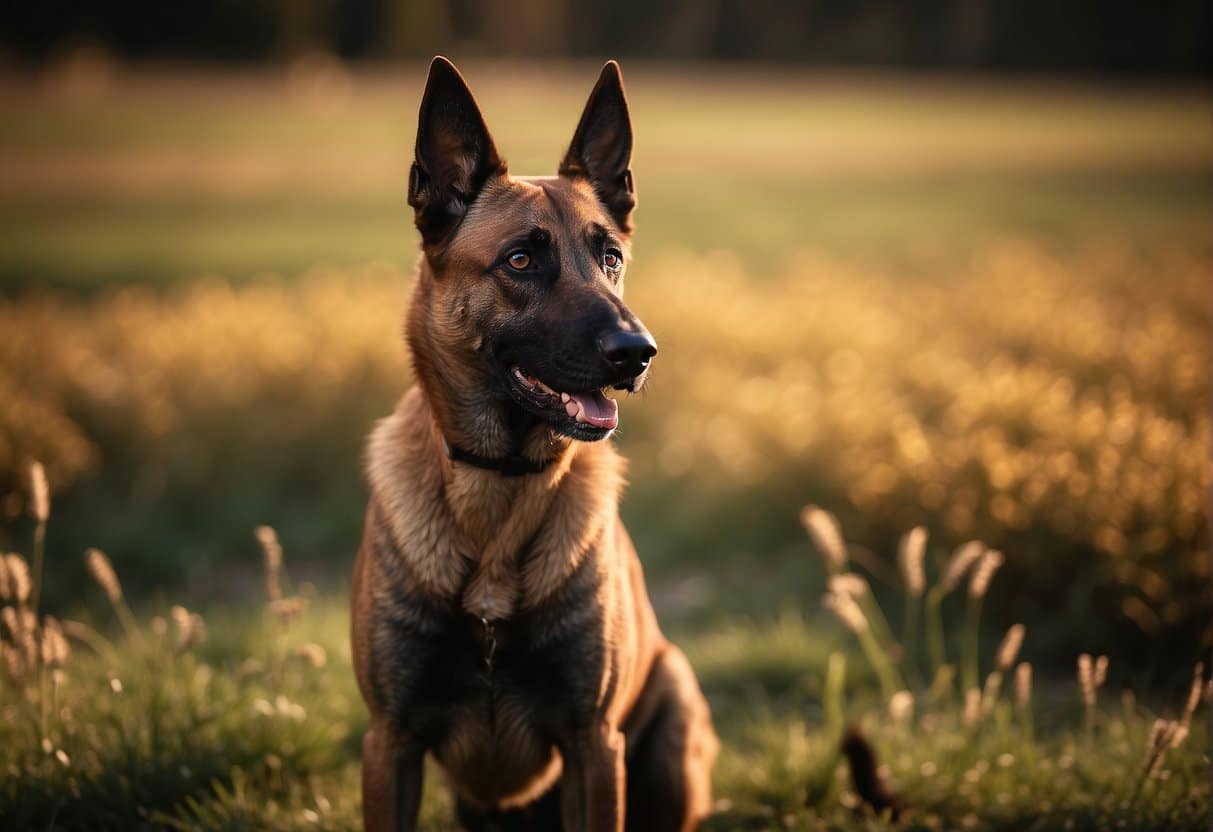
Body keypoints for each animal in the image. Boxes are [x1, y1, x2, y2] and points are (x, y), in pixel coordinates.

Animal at [349, 57, 718, 832]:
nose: (637, 352)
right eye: (520, 260)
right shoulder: (390, 742)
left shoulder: (592, 744)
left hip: (671, 715)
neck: (502, 479)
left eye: (610, 257)